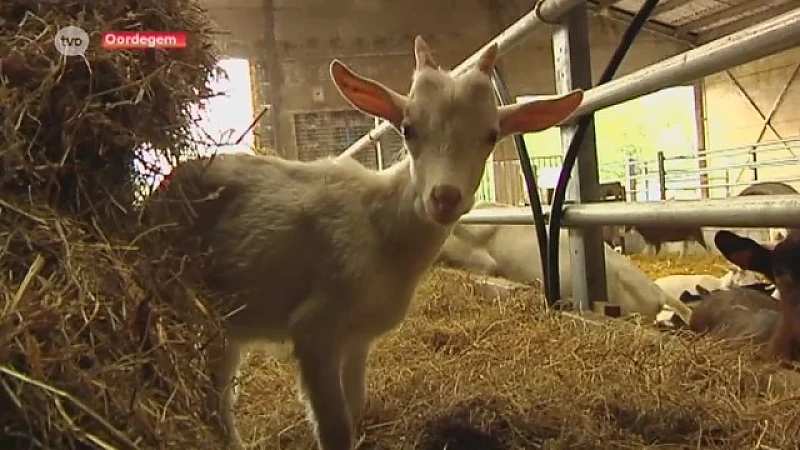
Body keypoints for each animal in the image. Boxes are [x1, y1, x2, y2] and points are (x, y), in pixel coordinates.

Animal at [142, 36, 580, 450]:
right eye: (408, 129)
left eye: (491, 135)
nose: (444, 197)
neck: (382, 227)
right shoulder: (315, 329)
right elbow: (335, 427)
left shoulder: (358, 337)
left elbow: (353, 409)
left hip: (223, 321)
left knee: (217, 389)